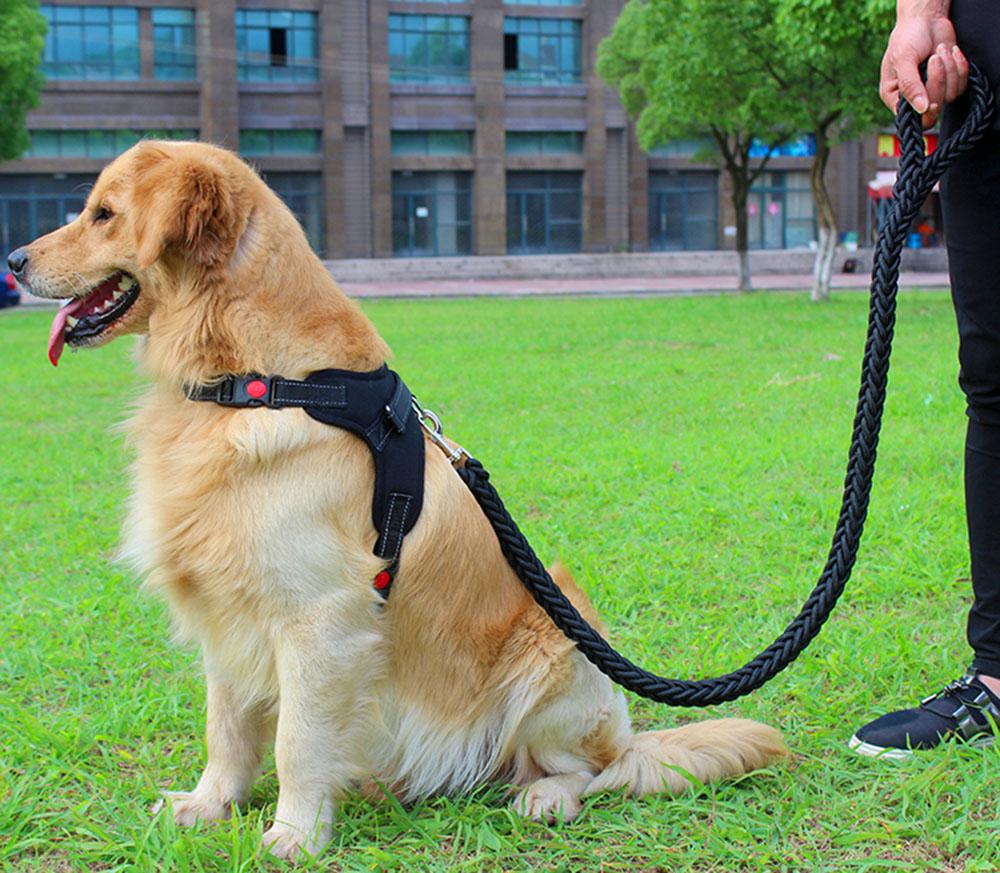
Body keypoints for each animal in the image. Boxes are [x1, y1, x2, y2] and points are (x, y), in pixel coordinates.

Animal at [11, 143, 784, 860]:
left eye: (103, 214)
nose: (14, 260)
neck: (255, 381)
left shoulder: (321, 619)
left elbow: (297, 742)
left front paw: (294, 834)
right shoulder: (227, 611)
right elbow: (225, 728)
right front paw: (209, 805)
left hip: (556, 650)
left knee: (594, 770)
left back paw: (542, 796)